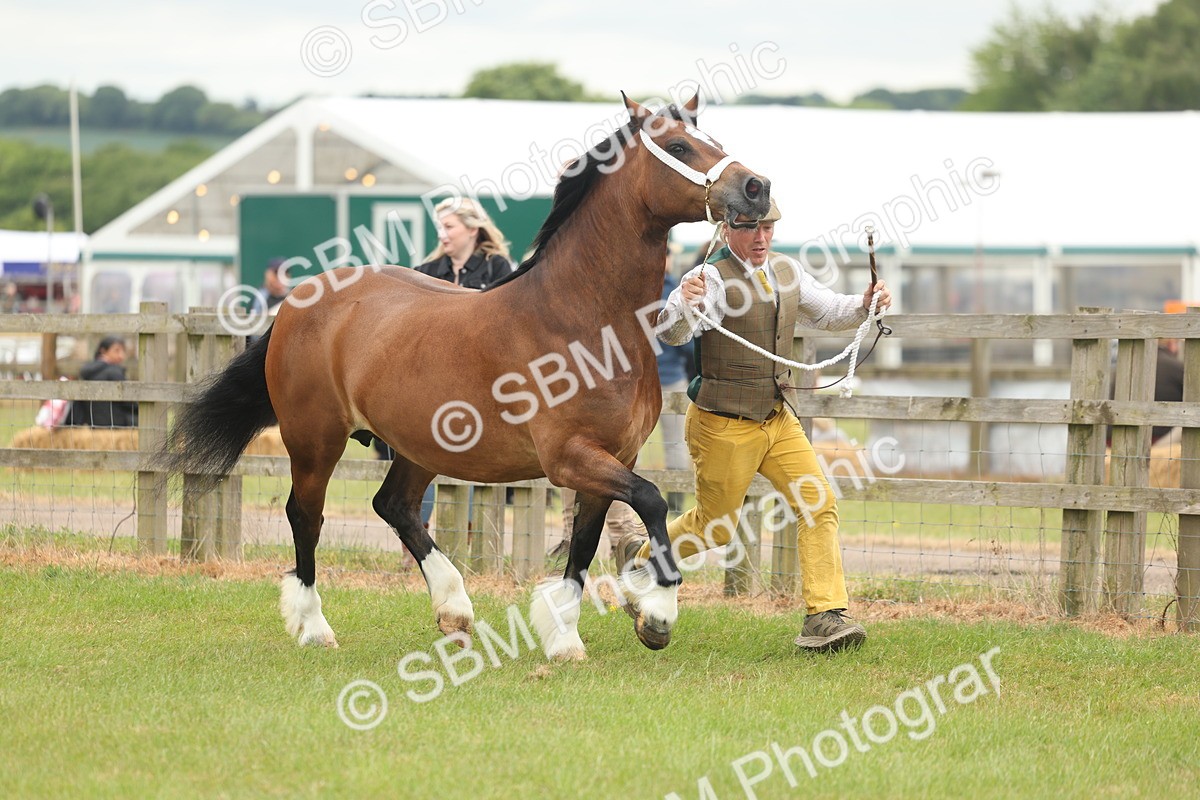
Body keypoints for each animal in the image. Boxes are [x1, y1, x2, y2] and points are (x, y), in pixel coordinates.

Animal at [158, 92, 771, 661]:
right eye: (679, 146)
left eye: (713, 138)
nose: (757, 187)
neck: (582, 317)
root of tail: (298, 300)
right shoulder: (570, 456)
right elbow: (651, 501)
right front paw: (658, 614)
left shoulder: (613, 457)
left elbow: (585, 544)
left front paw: (566, 639)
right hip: (314, 439)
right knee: (305, 516)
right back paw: (314, 627)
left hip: (419, 444)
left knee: (394, 506)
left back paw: (453, 608)